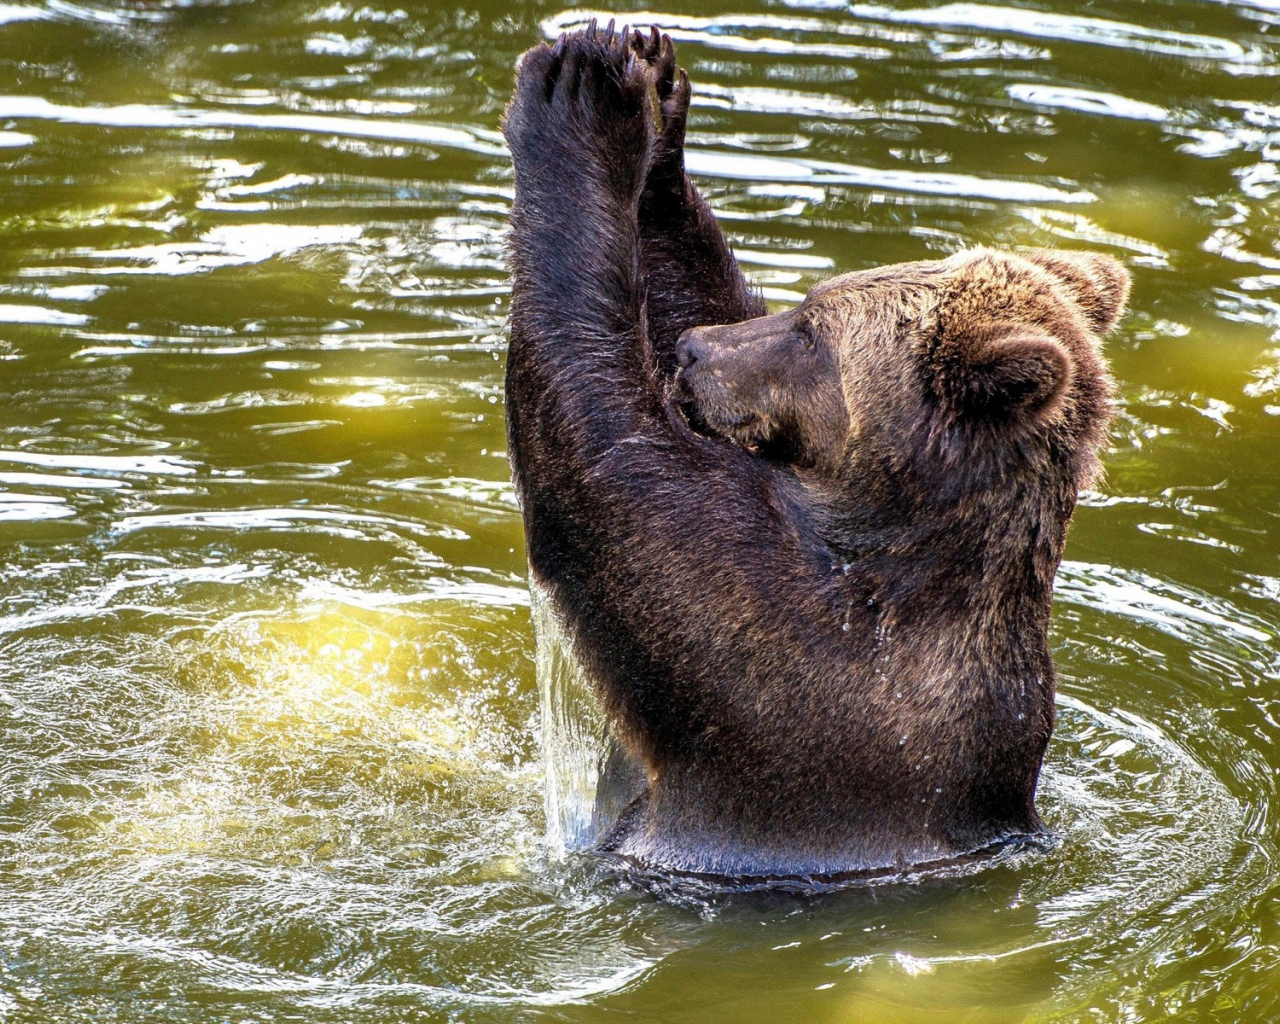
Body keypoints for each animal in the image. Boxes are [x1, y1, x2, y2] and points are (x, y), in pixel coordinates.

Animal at [502, 23, 1129, 883]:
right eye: (802, 304)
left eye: (811, 334)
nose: (695, 352)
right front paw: (656, 97)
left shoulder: (783, 660)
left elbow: (606, 461)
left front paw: (583, 99)